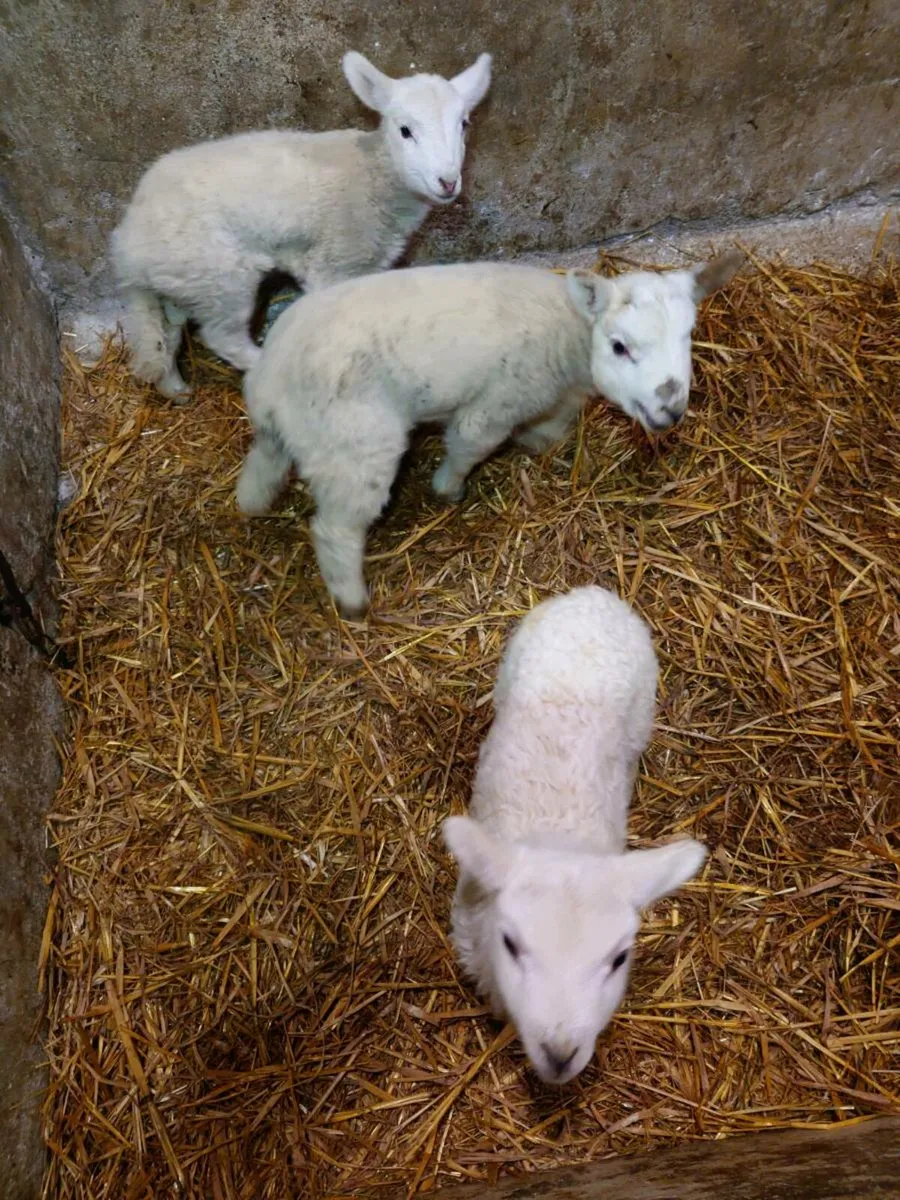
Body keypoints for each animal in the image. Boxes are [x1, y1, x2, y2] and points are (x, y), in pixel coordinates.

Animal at [109, 50, 493, 401]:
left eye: (464, 124)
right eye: (405, 130)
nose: (447, 181)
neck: (375, 175)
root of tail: (128, 247)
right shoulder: (333, 263)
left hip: (183, 279)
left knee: (165, 333)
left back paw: (175, 389)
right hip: (220, 275)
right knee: (222, 336)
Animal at [236, 251, 744, 617]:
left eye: (689, 337)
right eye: (620, 346)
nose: (670, 409)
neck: (569, 333)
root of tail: (271, 377)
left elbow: (550, 425)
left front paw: (541, 443)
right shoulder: (495, 404)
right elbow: (468, 445)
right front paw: (448, 489)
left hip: (295, 436)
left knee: (260, 471)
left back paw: (252, 506)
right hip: (357, 444)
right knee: (335, 529)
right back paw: (353, 600)